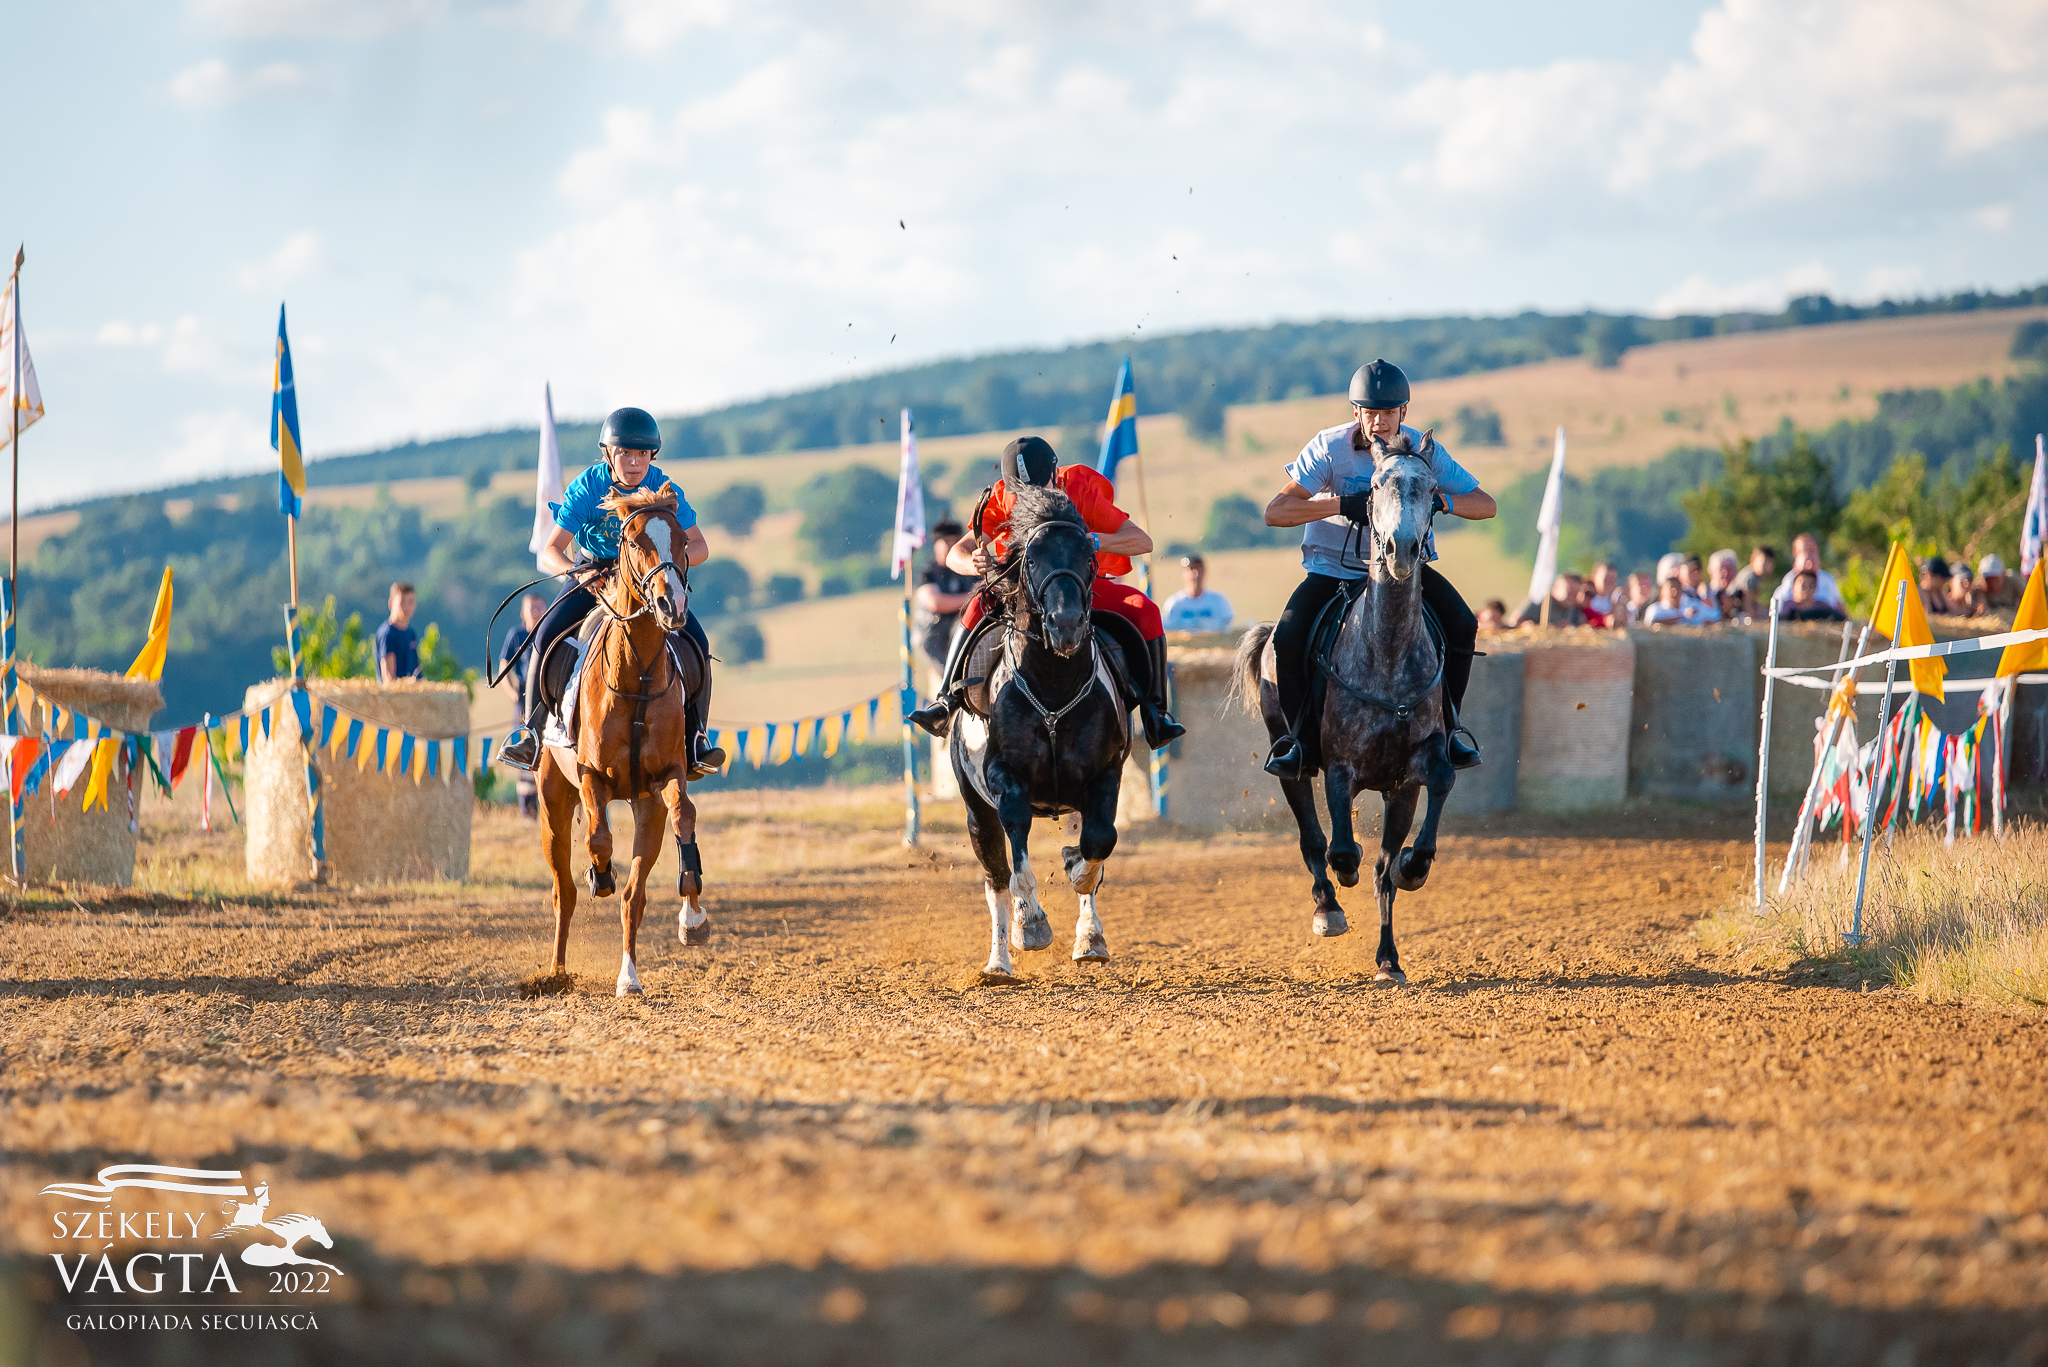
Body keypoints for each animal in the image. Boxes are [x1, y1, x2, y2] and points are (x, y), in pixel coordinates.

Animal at [536, 483, 712, 996]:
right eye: (633, 542)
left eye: (681, 540)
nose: (672, 606)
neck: (636, 675)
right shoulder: (591, 778)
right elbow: (597, 839)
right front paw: (600, 874)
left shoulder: (662, 783)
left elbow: (682, 820)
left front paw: (690, 919)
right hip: (552, 801)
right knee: (563, 891)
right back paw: (556, 971)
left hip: (642, 805)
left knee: (633, 889)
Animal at [946, 485, 1130, 987]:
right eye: (1031, 559)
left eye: (1090, 556)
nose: (1065, 625)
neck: (1053, 686)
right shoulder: (1003, 778)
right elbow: (1018, 865)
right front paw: (1030, 925)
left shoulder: (1104, 776)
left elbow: (1097, 846)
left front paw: (1088, 931)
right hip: (976, 811)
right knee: (995, 877)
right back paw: (998, 963)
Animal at [1228, 432, 1458, 979]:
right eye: (1373, 487)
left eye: (1432, 489)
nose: (1401, 550)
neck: (1388, 651)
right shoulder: (1338, 766)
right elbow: (1341, 848)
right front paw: (1343, 878)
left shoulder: (1414, 770)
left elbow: (1405, 840)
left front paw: (1415, 867)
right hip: (1288, 755)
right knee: (1313, 837)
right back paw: (1328, 907)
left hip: (1397, 790)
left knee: (1379, 869)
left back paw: (1388, 956)